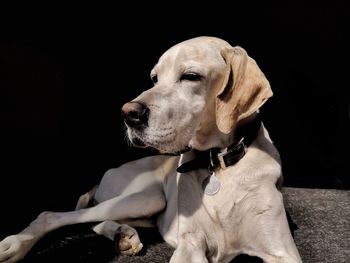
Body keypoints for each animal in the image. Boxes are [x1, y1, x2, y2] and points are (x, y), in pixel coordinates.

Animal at [0, 36, 300, 262]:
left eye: (191, 76)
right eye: (155, 78)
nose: (128, 114)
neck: (219, 162)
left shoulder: (282, 252)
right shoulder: (191, 244)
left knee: (92, 221)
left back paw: (123, 235)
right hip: (147, 197)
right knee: (54, 215)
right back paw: (15, 244)